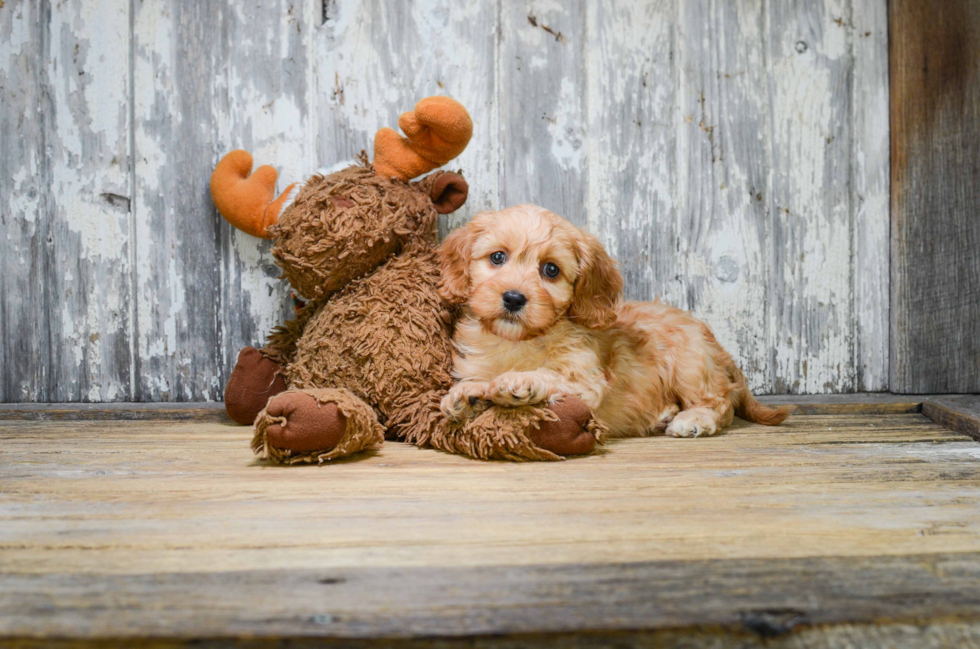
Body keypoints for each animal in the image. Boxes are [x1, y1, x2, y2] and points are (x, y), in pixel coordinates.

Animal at [436, 205, 788, 438]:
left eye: (551, 270)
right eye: (497, 257)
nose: (513, 298)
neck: (520, 340)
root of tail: (721, 350)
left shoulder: (586, 381)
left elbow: (548, 374)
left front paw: (518, 381)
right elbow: (474, 382)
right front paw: (468, 395)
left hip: (691, 364)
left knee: (720, 402)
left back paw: (693, 420)